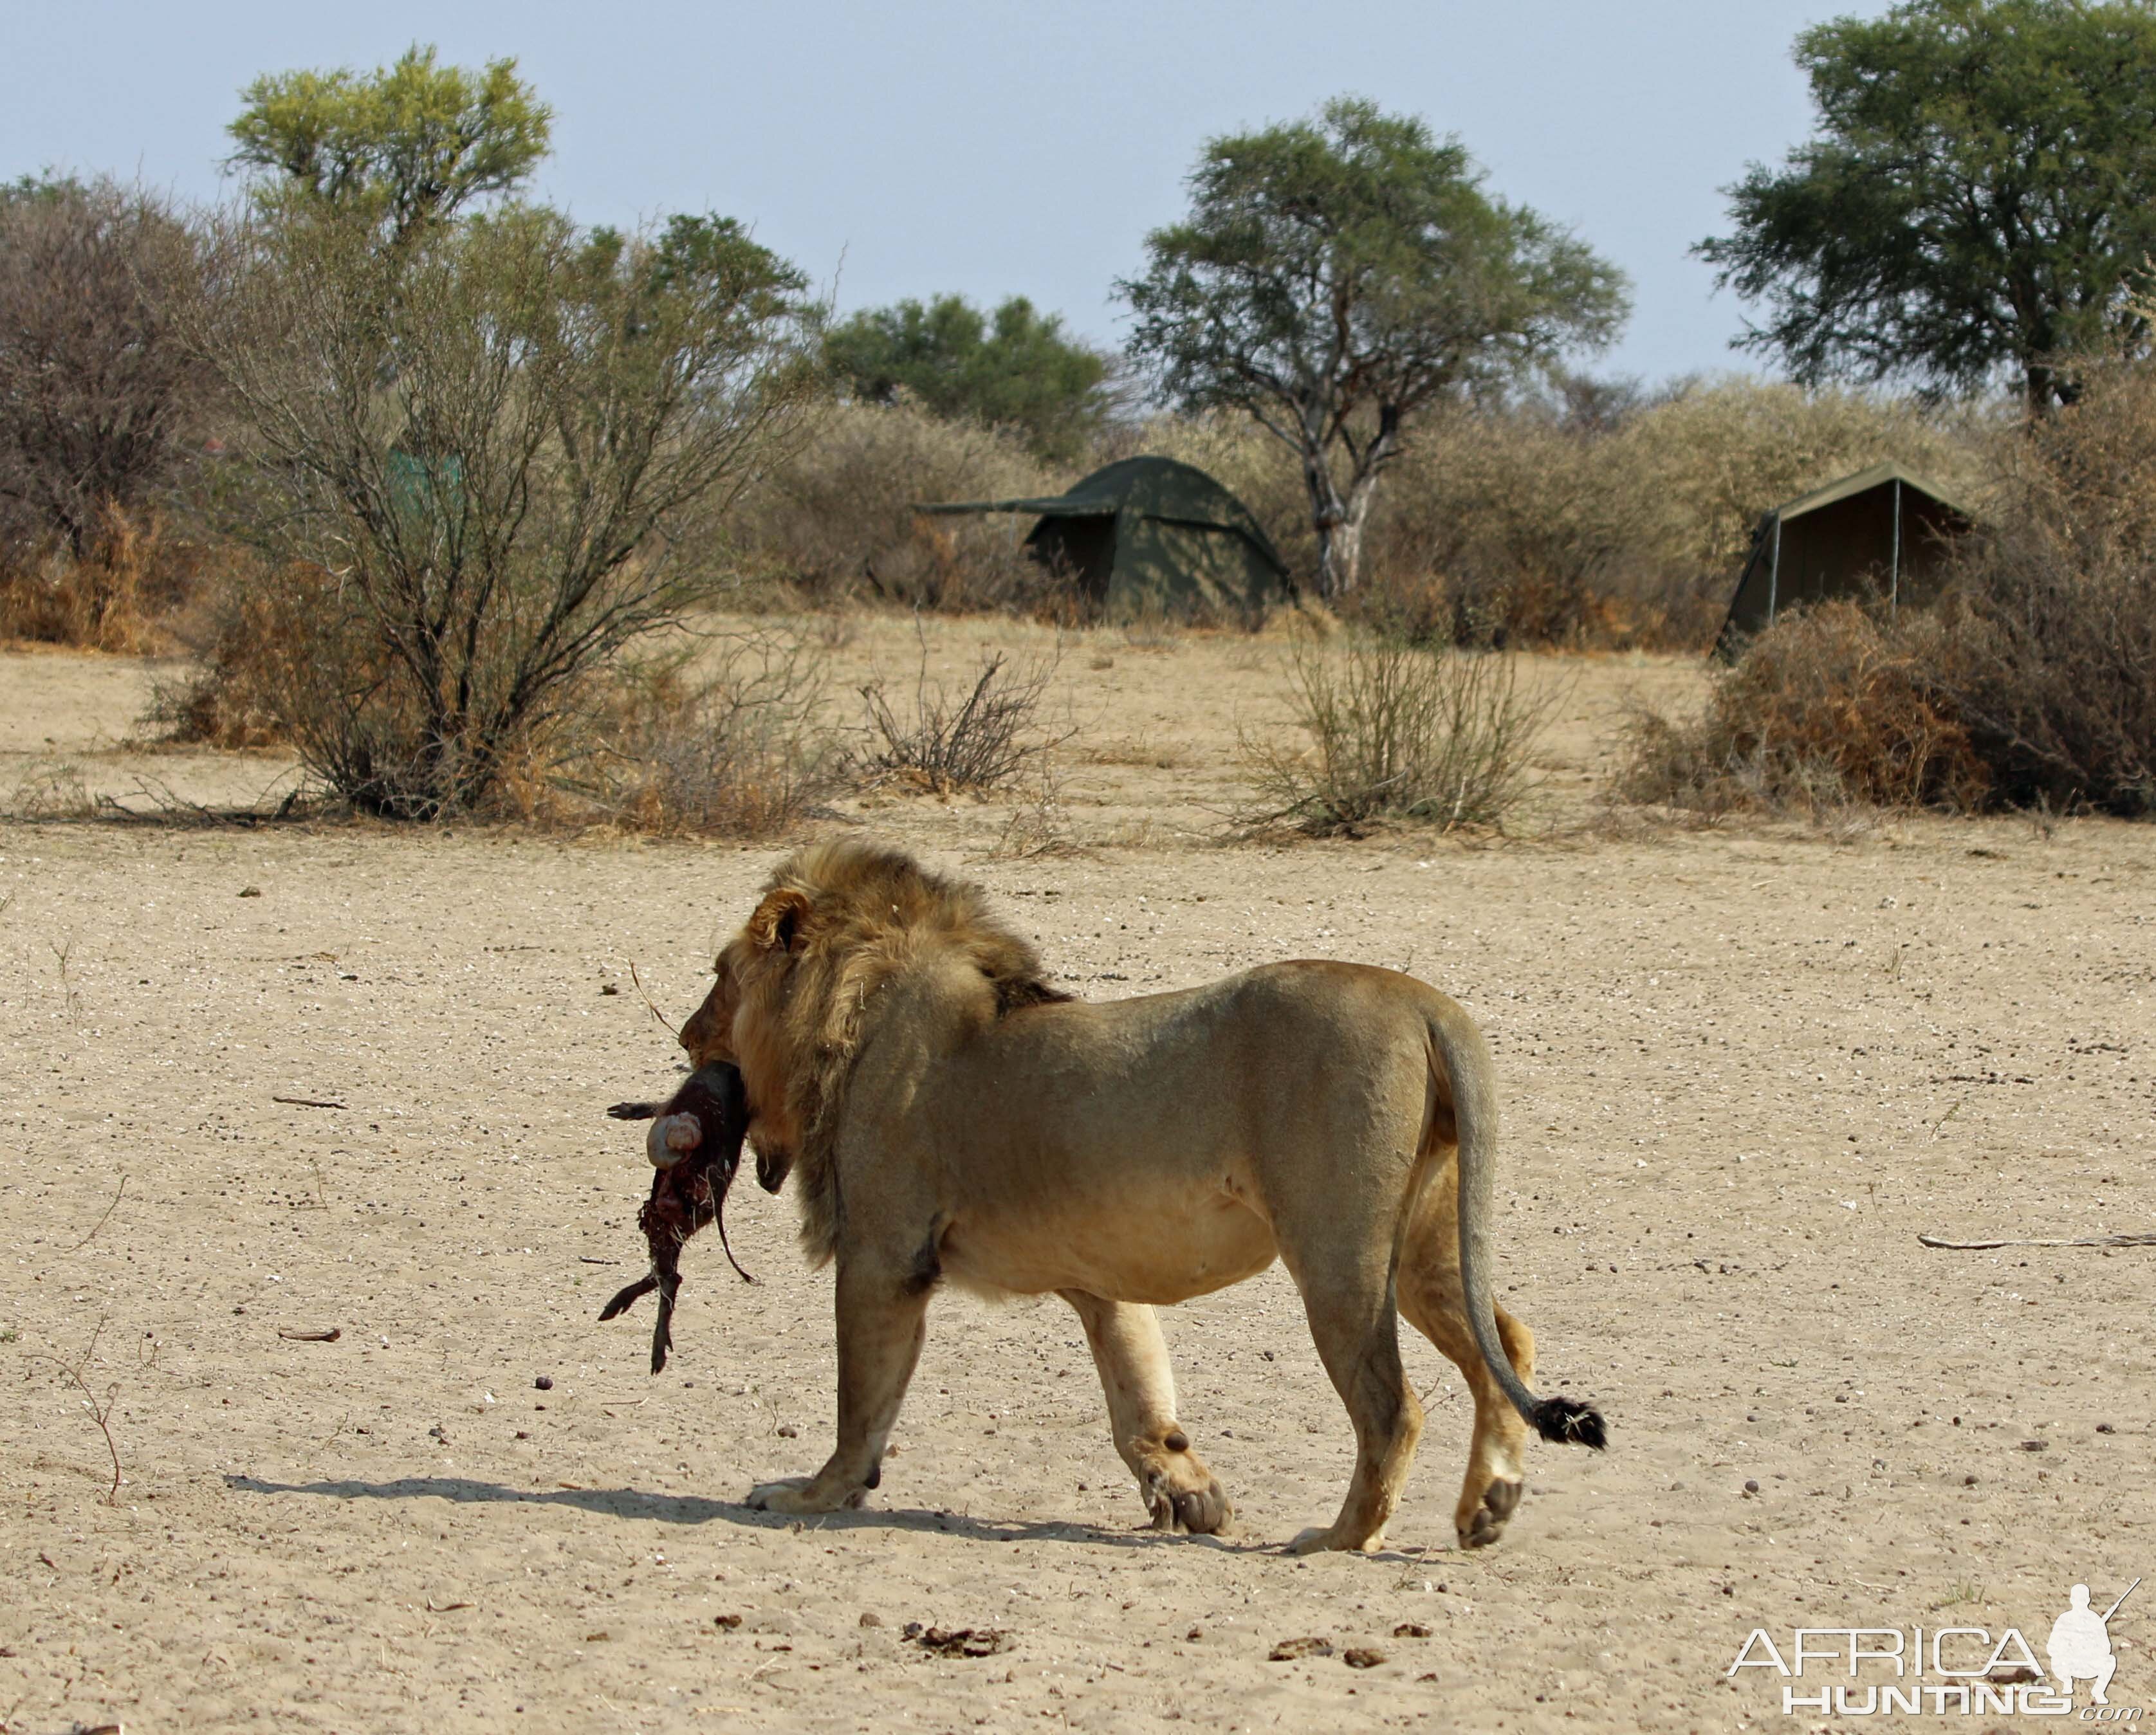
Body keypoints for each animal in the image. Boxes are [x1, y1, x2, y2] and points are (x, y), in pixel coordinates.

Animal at [664, 832, 1612, 1552]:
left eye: (717, 977)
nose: (683, 1034)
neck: (851, 1012)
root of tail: (1423, 1002)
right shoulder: (1097, 1279)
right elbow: (1139, 1395)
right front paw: (1188, 1491)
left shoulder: (882, 1258)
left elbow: (858, 1406)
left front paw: (808, 1495)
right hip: (1419, 1249)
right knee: (1507, 1345)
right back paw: (1487, 1504)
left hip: (1338, 1254)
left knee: (1393, 1406)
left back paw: (1339, 1538)